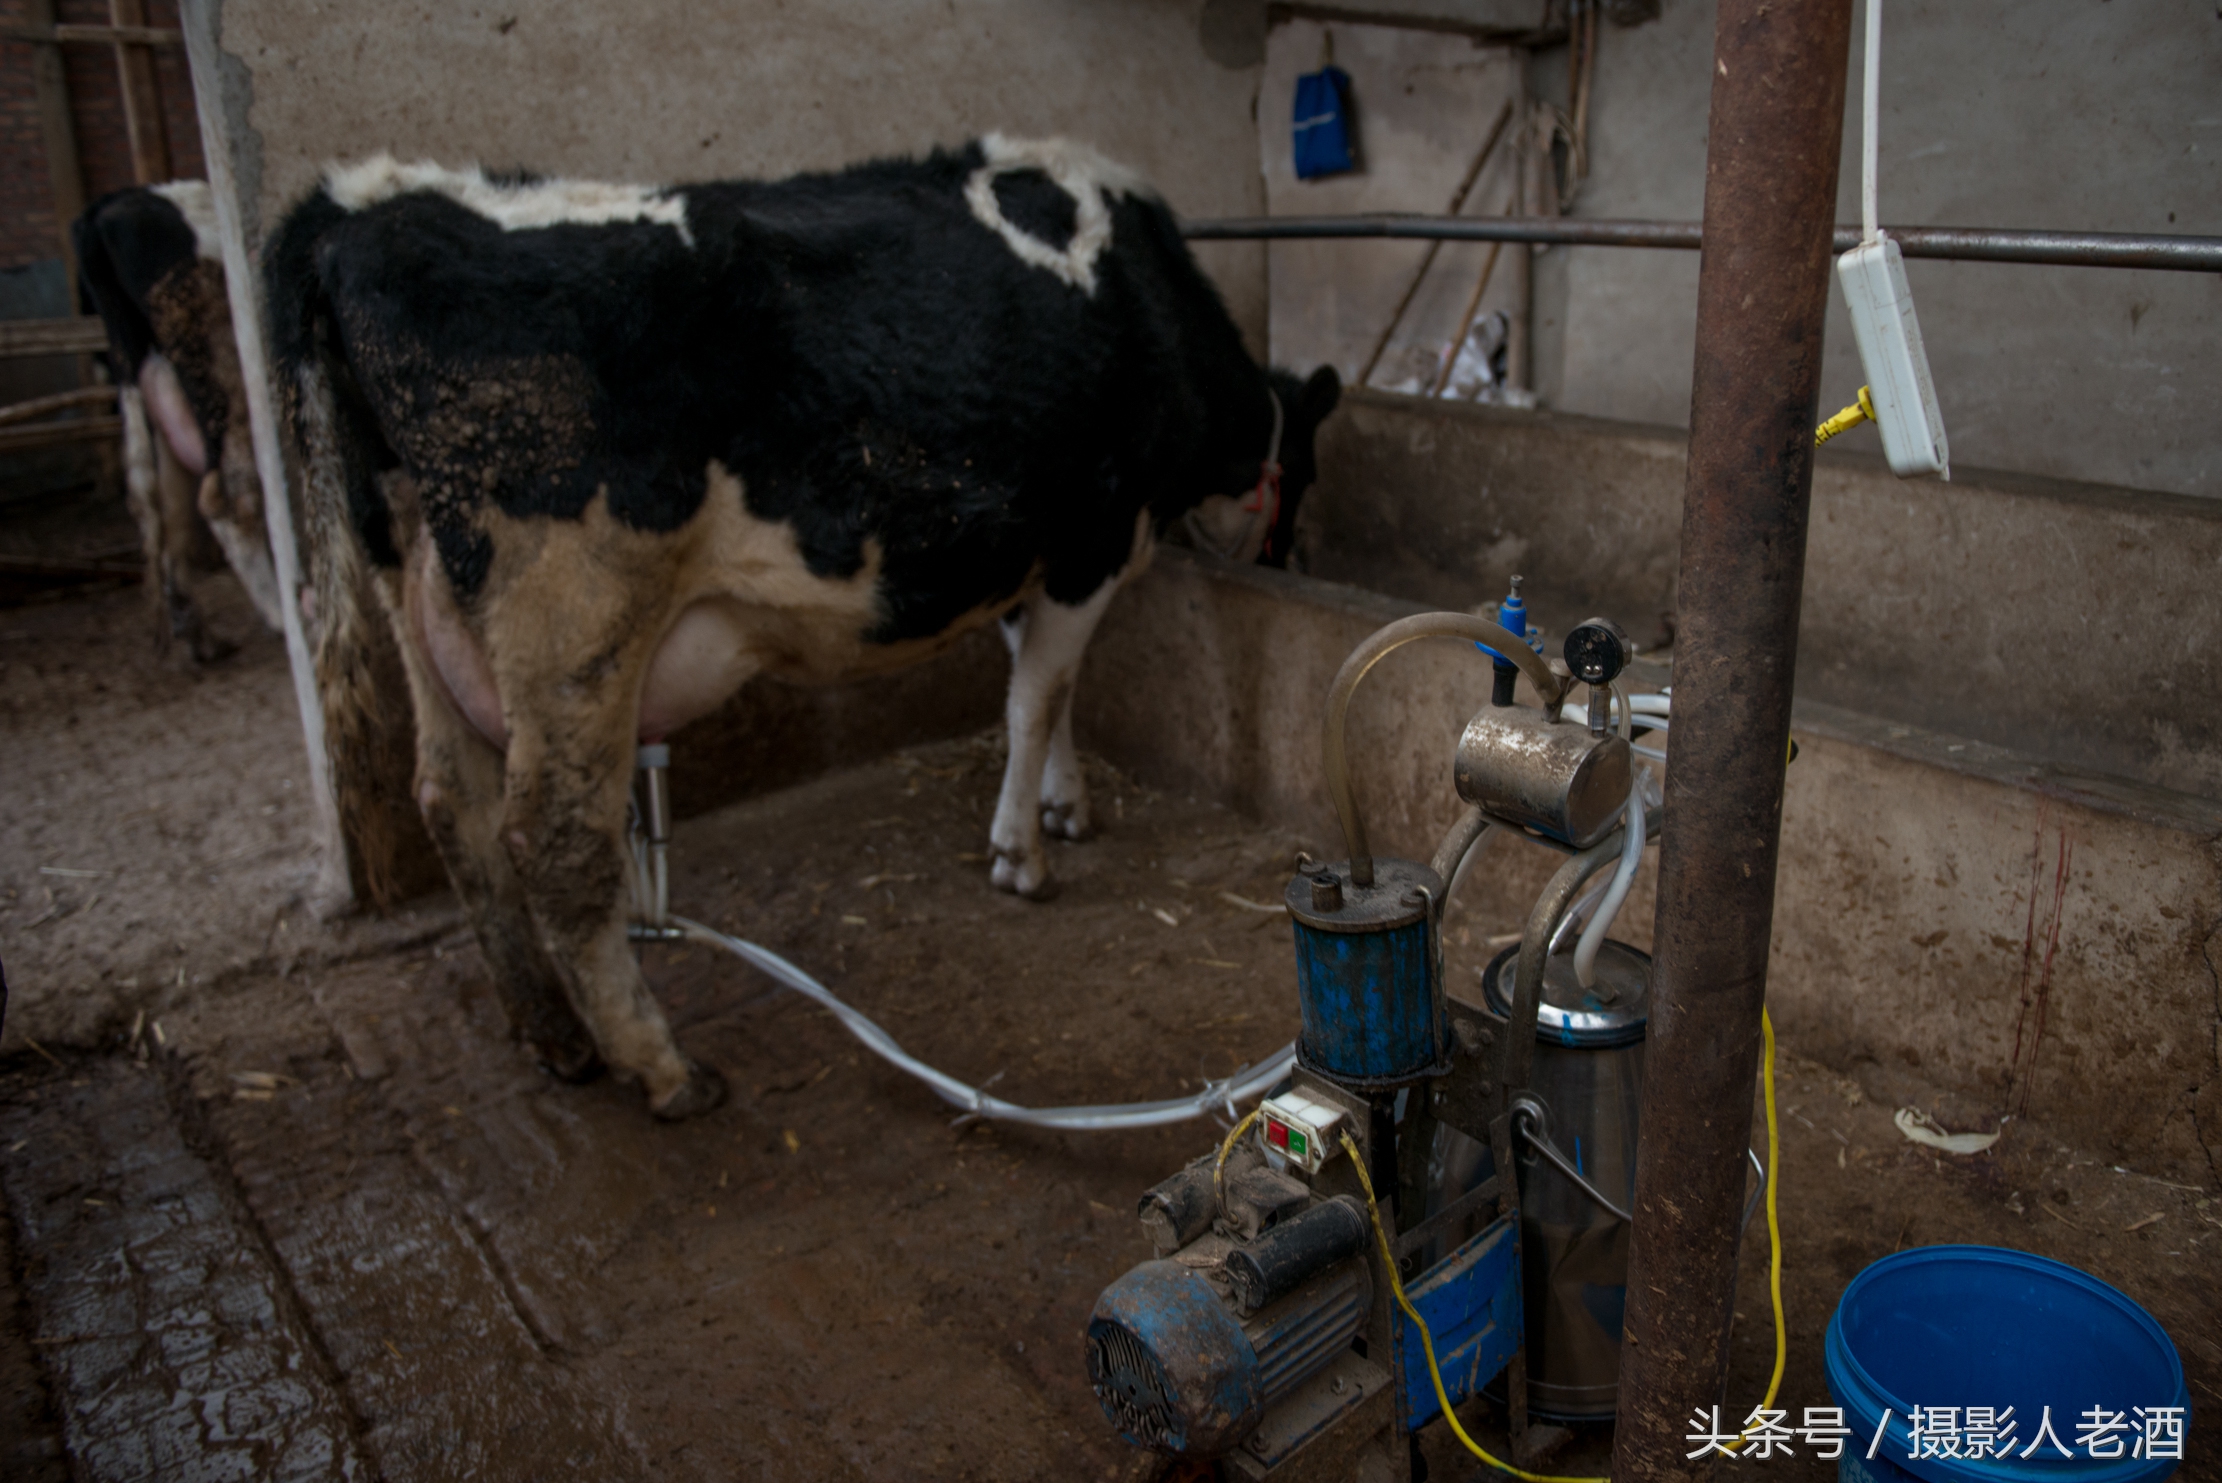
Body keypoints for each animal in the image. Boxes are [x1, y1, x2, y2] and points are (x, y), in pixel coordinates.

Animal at [75, 182, 286, 658]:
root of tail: (106, 207)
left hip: (156, 388)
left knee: (162, 504)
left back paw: (194, 629)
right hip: (224, 375)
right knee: (225, 499)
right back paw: (278, 614)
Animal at [259, 136, 1333, 1111]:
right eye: (1306, 474)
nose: (1289, 561)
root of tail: (363, 204)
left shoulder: (1016, 555)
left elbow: (1045, 689)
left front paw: (1064, 806)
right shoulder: (1088, 541)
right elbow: (1038, 699)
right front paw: (1020, 854)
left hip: (420, 593)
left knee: (453, 805)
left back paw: (553, 1034)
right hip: (573, 610)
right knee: (556, 840)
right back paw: (662, 1067)